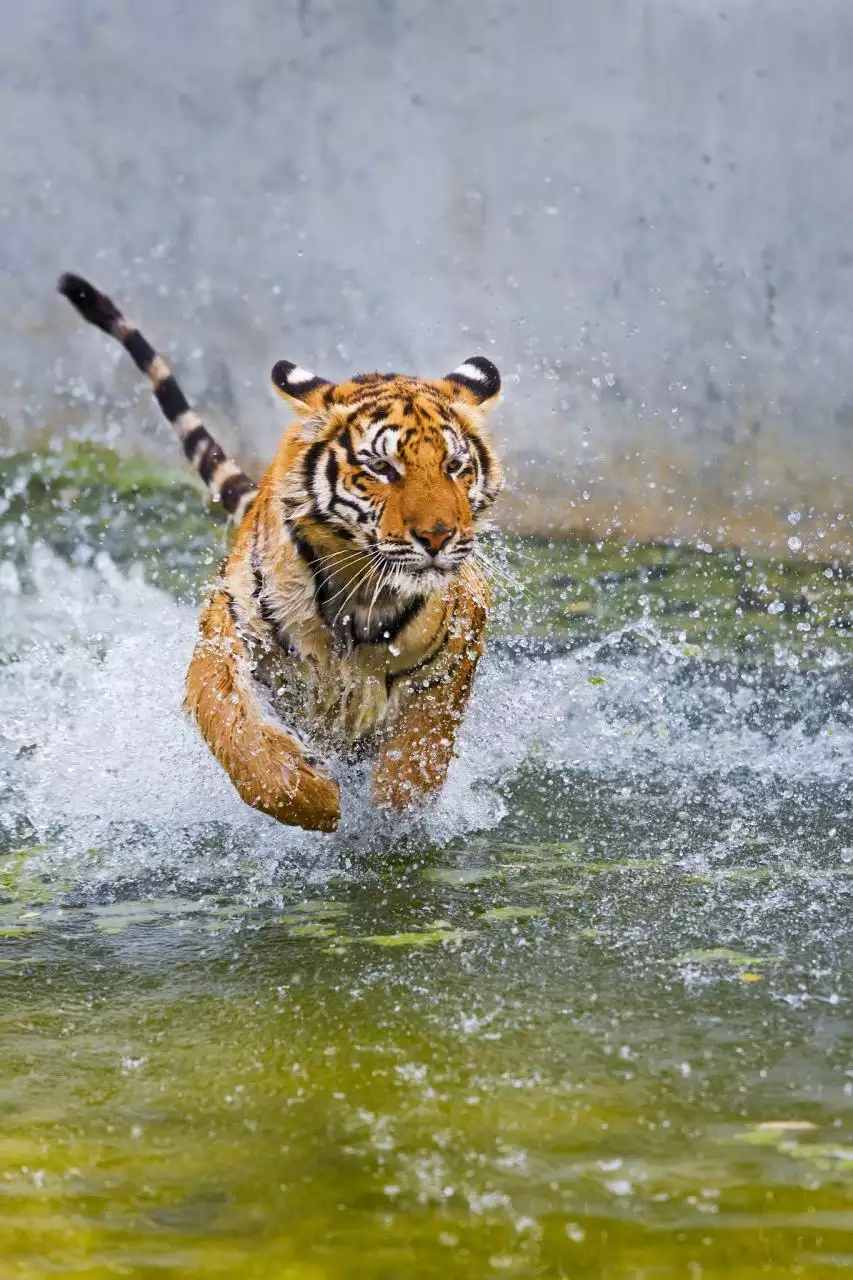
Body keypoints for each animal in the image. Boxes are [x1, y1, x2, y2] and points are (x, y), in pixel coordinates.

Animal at [58, 272, 499, 829]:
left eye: (455, 466)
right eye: (381, 468)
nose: (439, 537)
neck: (358, 594)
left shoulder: (464, 630)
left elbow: (426, 736)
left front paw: (397, 805)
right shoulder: (224, 635)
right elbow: (233, 726)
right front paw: (313, 800)